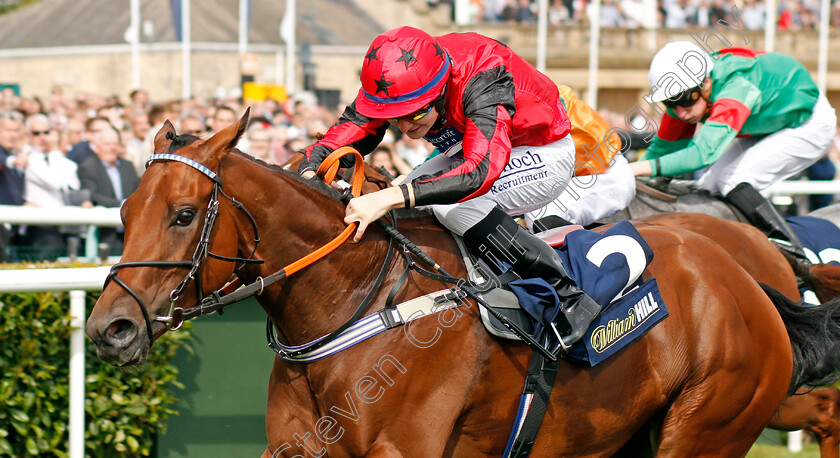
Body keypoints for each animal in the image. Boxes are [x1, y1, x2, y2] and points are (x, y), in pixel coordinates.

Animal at [87, 112, 840, 458]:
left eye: (184, 215)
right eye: (123, 212)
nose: (109, 329)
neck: (353, 304)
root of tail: (753, 280)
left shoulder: (406, 448)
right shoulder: (297, 444)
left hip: (709, 423)